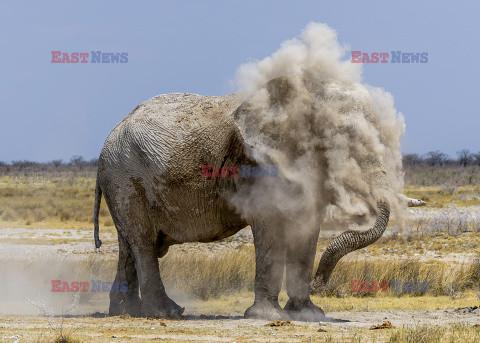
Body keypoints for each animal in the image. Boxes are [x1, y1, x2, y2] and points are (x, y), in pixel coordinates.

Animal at [94, 74, 424, 322]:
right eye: (342, 137)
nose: (320, 282)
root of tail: (109, 137)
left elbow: (307, 227)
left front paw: (308, 314)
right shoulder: (258, 165)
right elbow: (270, 226)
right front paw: (267, 316)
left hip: (121, 181)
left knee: (130, 244)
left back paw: (125, 313)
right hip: (124, 177)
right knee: (143, 242)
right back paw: (165, 313)